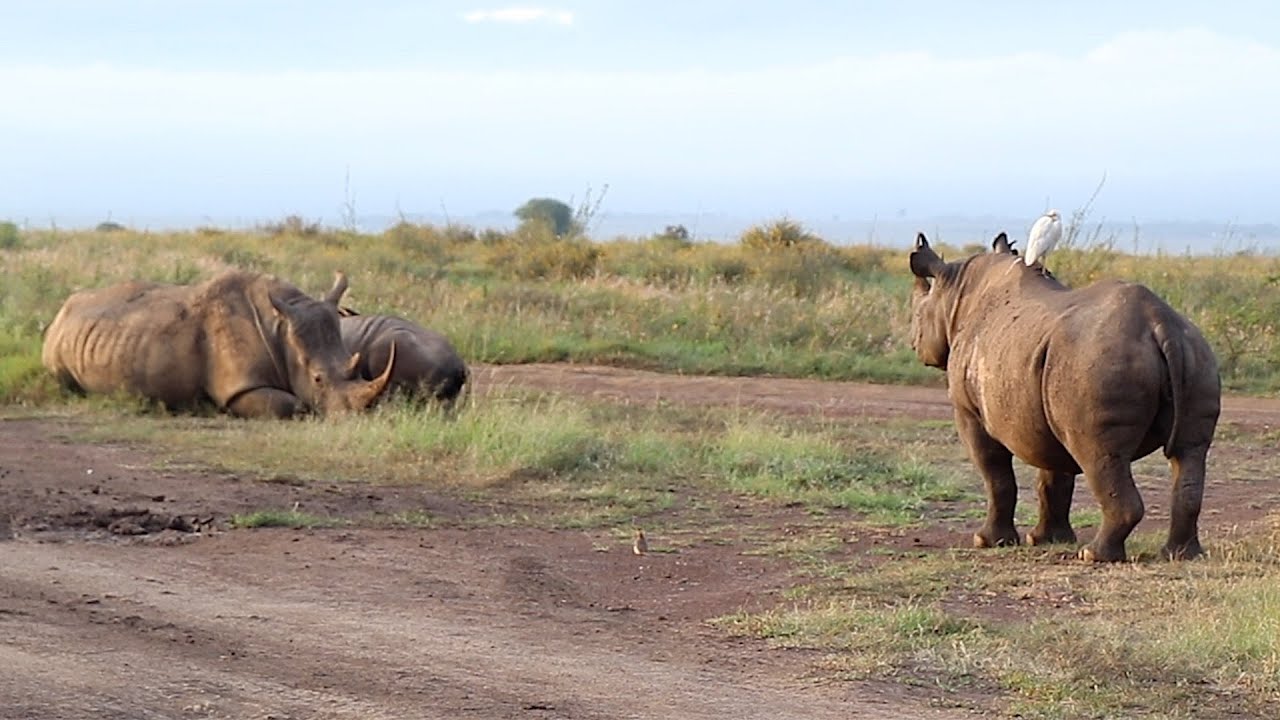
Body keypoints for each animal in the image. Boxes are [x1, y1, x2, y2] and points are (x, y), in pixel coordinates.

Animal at [42, 269, 396, 419]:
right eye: (318, 379)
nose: (358, 415)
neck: (281, 330)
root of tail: (61, 311)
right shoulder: (239, 387)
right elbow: (293, 405)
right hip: (57, 342)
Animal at [908, 232, 1221, 562]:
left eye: (916, 314)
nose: (912, 342)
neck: (955, 291)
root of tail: (1160, 323)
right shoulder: (1045, 408)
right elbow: (1054, 476)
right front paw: (1047, 540)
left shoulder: (968, 411)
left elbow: (996, 475)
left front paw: (988, 541)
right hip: (1194, 354)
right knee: (1188, 453)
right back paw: (1181, 555)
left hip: (1098, 362)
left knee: (1100, 455)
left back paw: (1093, 556)